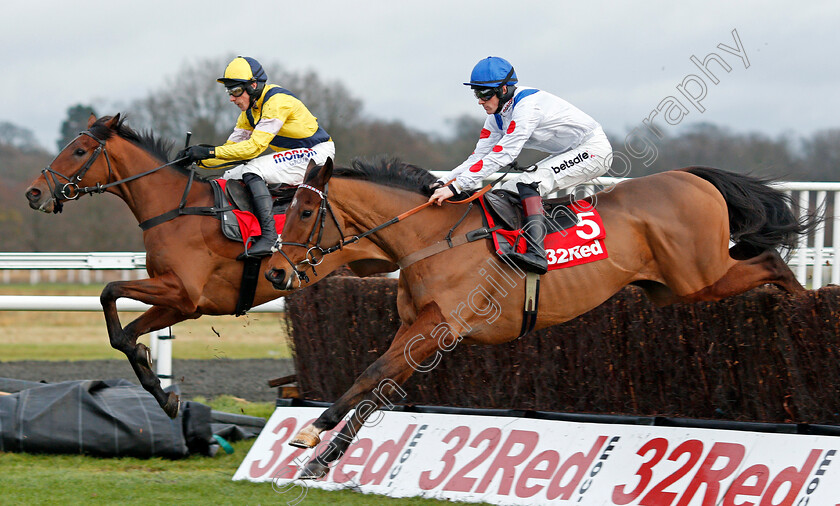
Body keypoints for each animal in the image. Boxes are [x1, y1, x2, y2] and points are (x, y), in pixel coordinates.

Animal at [23, 114, 398, 420]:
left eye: (79, 151)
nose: (33, 192)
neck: (176, 209)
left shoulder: (182, 291)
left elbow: (108, 291)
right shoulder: (186, 305)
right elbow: (125, 335)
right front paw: (161, 391)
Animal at [266, 155, 816, 478]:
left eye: (305, 213)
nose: (274, 272)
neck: (432, 239)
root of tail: (692, 177)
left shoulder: (439, 327)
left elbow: (371, 374)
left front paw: (311, 431)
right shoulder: (420, 330)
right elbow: (376, 389)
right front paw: (321, 459)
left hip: (698, 277)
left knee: (770, 260)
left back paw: (801, 304)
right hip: (669, 288)